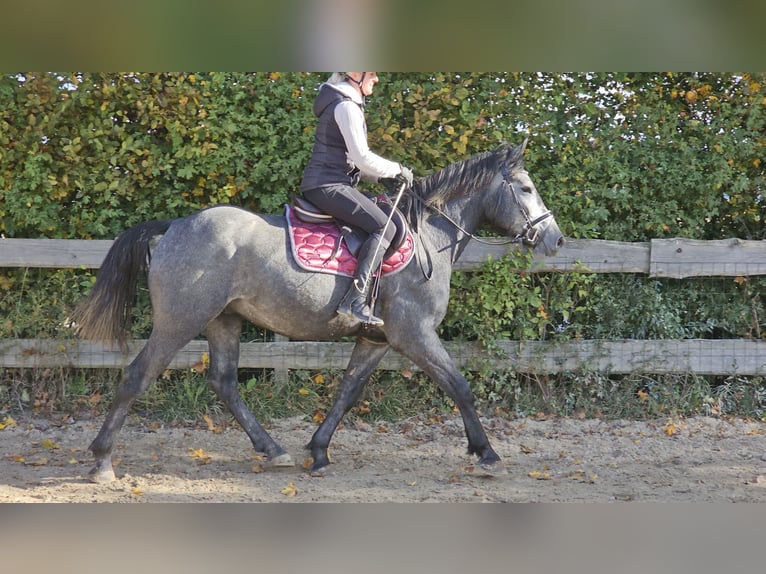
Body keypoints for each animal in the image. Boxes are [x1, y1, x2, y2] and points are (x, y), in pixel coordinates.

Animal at [72, 138, 564, 482]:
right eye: (526, 188)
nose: (555, 239)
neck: (428, 236)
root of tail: (173, 226)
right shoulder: (415, 335)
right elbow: (460, 386)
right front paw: (487, 453)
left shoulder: (376, 339)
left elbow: (348, 392)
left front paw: (319, 451)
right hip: (180, 321)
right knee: (138, 376)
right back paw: (101, 461)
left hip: (223, 320)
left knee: (224, 382)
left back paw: (273, 450)